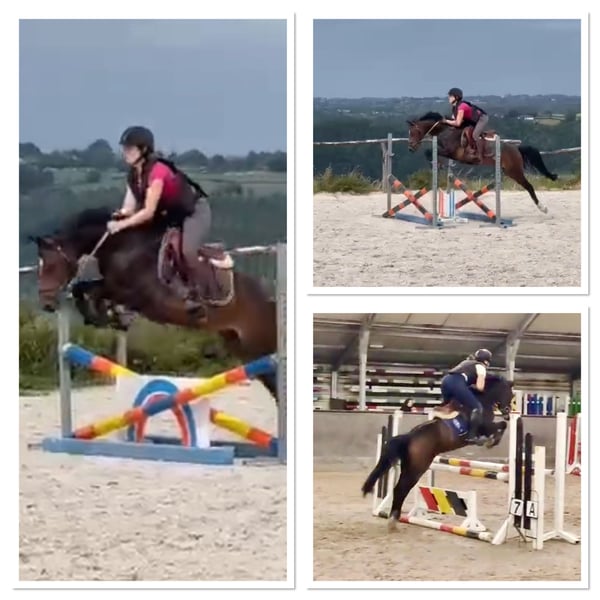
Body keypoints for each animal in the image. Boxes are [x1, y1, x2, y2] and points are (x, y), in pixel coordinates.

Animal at [31, 206, 279, 401]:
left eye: (51, 265)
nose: (46, 303)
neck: (122, 248)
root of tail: (268, 300)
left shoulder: (139, 295)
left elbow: (93, 289)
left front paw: (107, 314)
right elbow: (86, 289)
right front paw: (106, 316)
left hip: (258, 343)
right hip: (241, 346)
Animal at [361, 374, 514, 531]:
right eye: (510, 394)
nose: (508, 413)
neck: (483, 399)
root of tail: (410, 437)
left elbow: (502, 425)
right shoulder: (485, 427)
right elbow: (502, 425)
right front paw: (492, 441)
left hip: (408, 466)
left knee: (399, 489)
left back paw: (394, 519)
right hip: (417, 468)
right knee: (401, 489)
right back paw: (393, 520)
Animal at [407, 112, 558, 214]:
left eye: (413, 132)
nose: (410, 148)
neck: (446, 132)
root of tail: (516, 149)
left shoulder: (451, 152)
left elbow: (431, 152)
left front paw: (437, 164)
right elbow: (432, 153)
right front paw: (438, 164)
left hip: (515, 171)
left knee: (529, 186)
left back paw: (543, 208)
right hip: (509, 172)